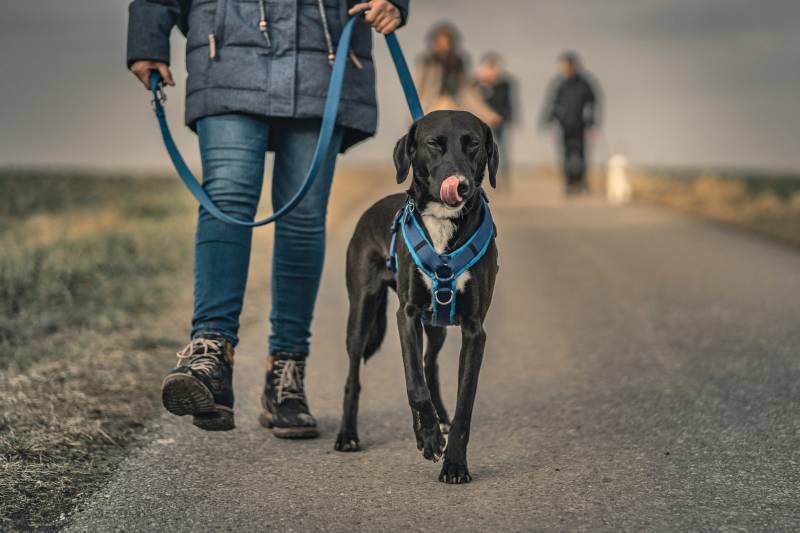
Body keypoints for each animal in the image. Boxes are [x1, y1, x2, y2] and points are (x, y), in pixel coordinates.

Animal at [332, 111, 496, 482]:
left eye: (473, 144)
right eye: (434, 143)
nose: (461, 184)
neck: (443, 222)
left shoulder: (473, 330)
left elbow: (464, 401)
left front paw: (454, 462)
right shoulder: (406, 316)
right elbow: (414, 387)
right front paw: (431, 439)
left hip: (435, 325)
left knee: (428, 363)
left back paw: (436, 422)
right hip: (361, 314)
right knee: (354, 377)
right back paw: (348, 435)